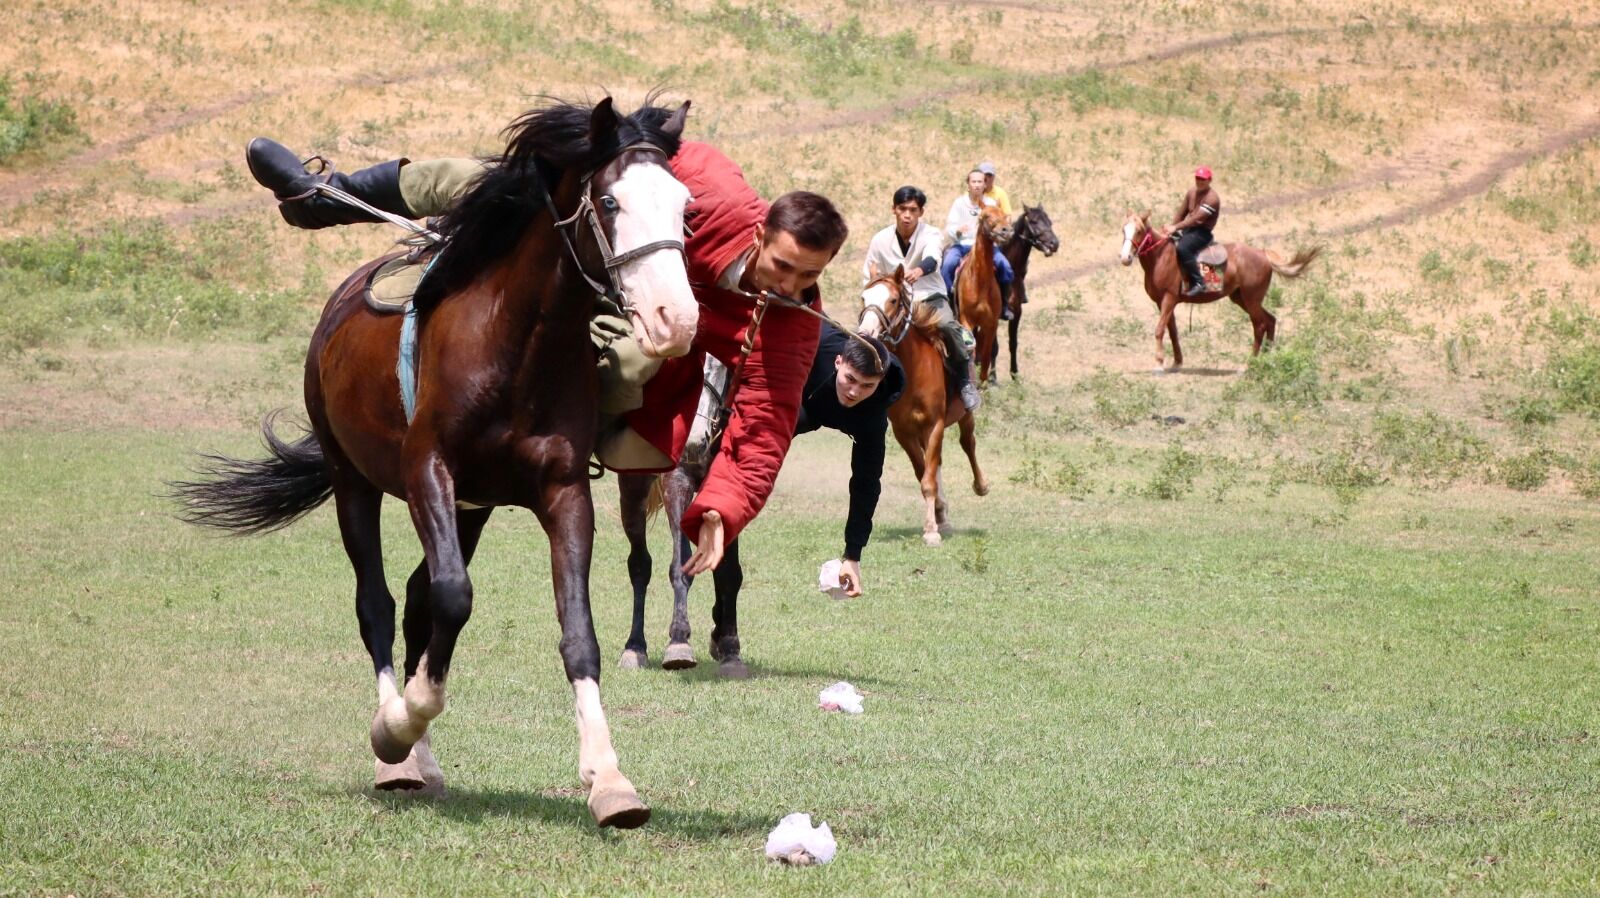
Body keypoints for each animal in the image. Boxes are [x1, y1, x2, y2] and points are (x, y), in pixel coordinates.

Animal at [175, 98, 700, 825]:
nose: (676, 319)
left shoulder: (563, 492)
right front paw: (400, 724)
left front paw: (609, 779)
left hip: (471, 510)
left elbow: (575, 632)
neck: (515, 344)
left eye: (684, 207)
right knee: (379, 602)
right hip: (354, 481)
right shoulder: (429, 469)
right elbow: (453, 599)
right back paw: (398, 754)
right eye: (610, 202)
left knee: (419, 600)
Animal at [864, 264, 985, 547]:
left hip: (965, 417)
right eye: (864, 298)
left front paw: (931, 531)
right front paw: (936, 518)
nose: (866, 332)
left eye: (893, 300)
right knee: (937, 463)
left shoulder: (934, 425)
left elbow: (929, 479)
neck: (915, 370)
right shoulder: (904, 431)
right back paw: (943, 515)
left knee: (968, 443)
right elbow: (924, 474)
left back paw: (980, 486)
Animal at [947, 204, 1011, 384]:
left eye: (1003, 215)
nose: (1006, 231)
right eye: (986, 216)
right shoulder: (966, 320)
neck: (980, 282)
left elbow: (986, 354)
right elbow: (973, 351)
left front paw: (983, 383)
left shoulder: (991, 323)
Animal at [998, 204, 1062, 379]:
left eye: (1049, 221)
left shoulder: (1016, 313)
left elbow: (1013, 343)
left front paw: (1014, 375)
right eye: (1033, 221)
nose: (1054, 243)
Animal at [1120, 208, 1318, 369]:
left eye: (1139, 231)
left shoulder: (1169, 299)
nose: (1125, 258)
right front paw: (1177, 362)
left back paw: (1250, 363)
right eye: (1123, 230)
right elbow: (1172, 331)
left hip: (1251, 299)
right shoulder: (1162, 302)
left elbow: (1159, 330)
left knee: (1260, 325)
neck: (1161, 257)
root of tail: (1263, 254)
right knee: (1270, 320)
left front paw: (1159, 363)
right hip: (1241, 298)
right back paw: (1266, 359)